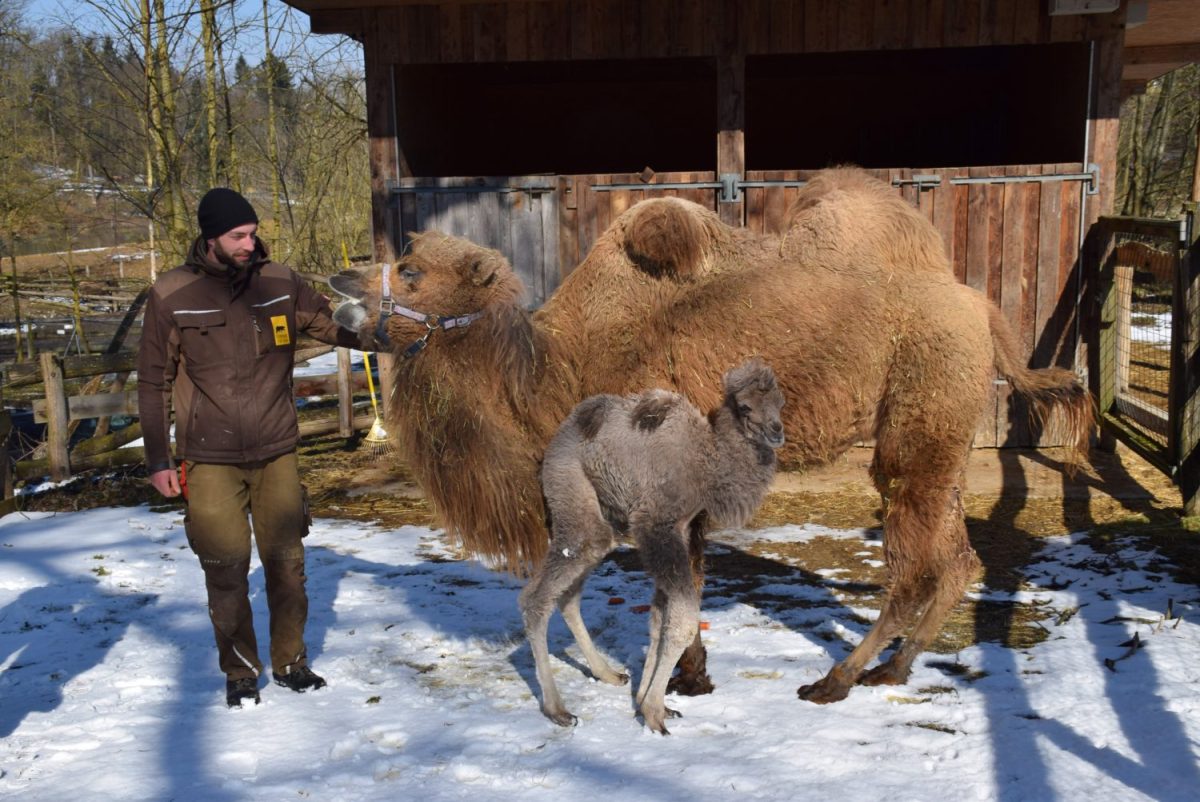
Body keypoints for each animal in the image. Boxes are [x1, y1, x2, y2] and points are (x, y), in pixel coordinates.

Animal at [518, 357, 787, 734]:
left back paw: (608, 674)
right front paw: (654, 712)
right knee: (537, 596)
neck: (706, 460)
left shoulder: (681, 529)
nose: (776, 432)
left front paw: (648, 702)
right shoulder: (656, 525)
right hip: (570, 488)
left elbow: (659, 618)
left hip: (606, 521)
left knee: (571, 591)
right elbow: (683, 618)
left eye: (780, 403)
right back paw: (558, 710)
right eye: (746, 407)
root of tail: (556, 441)